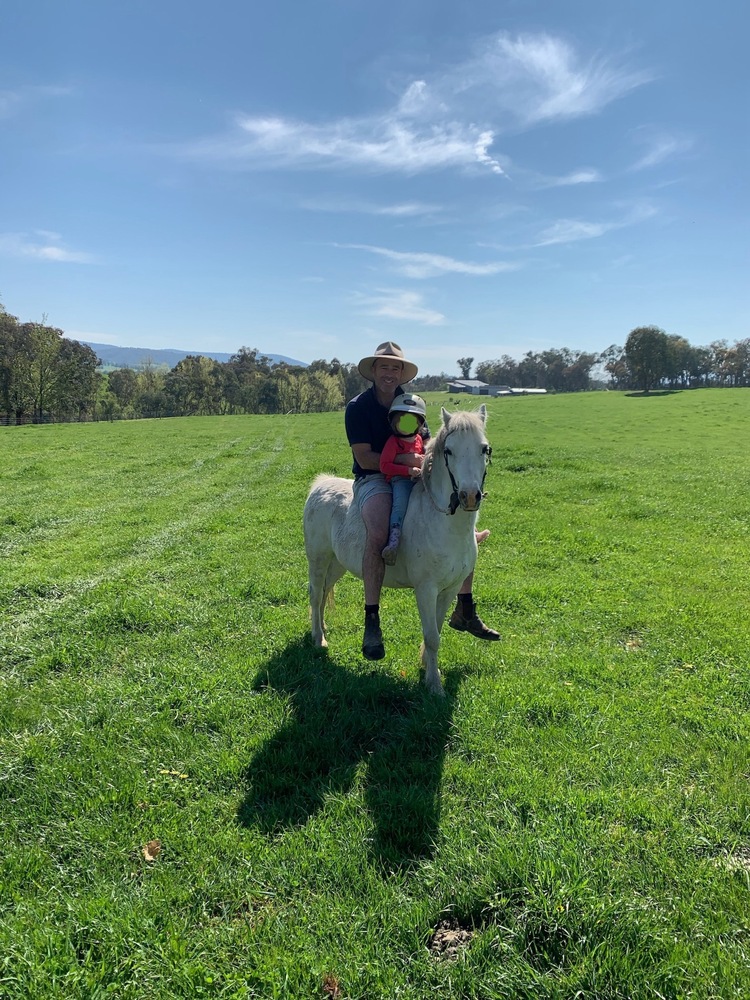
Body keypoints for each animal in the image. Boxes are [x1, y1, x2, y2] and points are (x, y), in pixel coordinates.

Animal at [303, 405, 492, 695]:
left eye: (484, 448)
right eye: (449, 451)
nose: (470, 496)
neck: (442, 522)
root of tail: (320, 485)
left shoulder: (449, 589)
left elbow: (436, 630)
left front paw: (427, 667)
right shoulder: (426, 589)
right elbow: (432, 636)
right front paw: (434, 686)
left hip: (337, 565)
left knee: (323, 594)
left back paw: (321, 628)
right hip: (318, 560)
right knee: (315, 594)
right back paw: (318, 639)